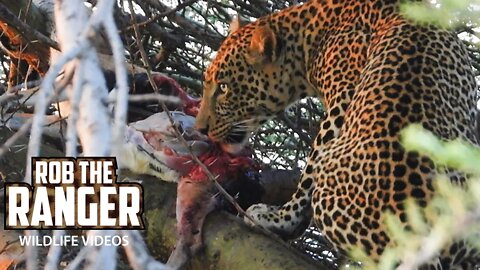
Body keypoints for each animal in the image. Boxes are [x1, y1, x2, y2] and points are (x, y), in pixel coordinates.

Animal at [195, 0, 480, 266]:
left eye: (223, 88)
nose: (201, 129)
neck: (309, 38)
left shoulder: (343, 97)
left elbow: (307, 176)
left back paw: (275, 218)